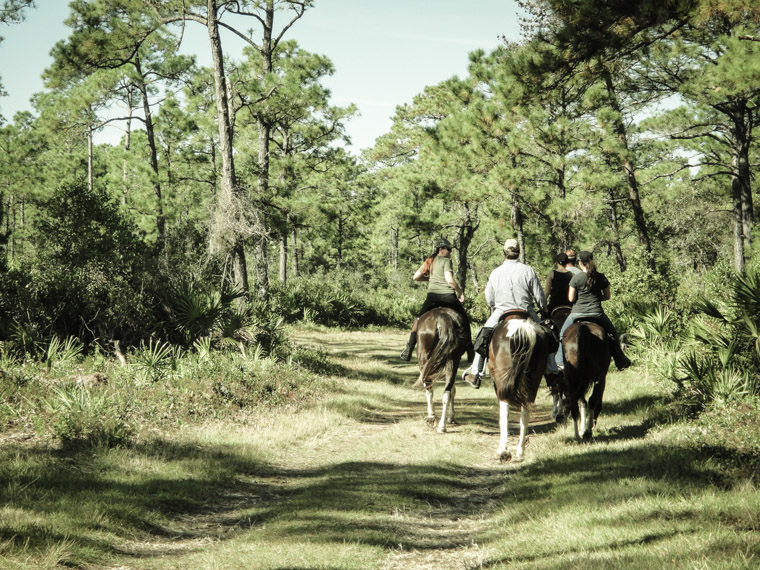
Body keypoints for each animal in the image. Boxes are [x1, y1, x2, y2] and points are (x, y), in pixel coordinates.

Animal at [486, 310, 560, 462]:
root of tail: (523, 329)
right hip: (534, 379)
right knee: (526, 409)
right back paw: (520, 451)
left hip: (502, 380)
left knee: (505, 407)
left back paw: (504, 451)